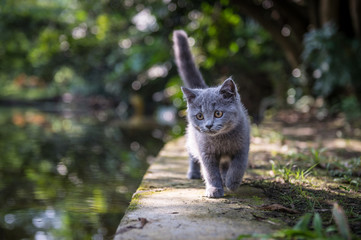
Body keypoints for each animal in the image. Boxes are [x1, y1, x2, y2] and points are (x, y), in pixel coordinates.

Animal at [173, 30, 249, 199]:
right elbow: (210, 172)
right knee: (192, 153)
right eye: (200, 116)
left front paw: (232, 183)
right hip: (192, 137)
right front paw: (214, 189)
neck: (222, 140)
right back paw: (194, 173)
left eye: (218, 113)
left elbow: (238, 166)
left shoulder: (242, 147)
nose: (208, 125)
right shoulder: (206, 152)